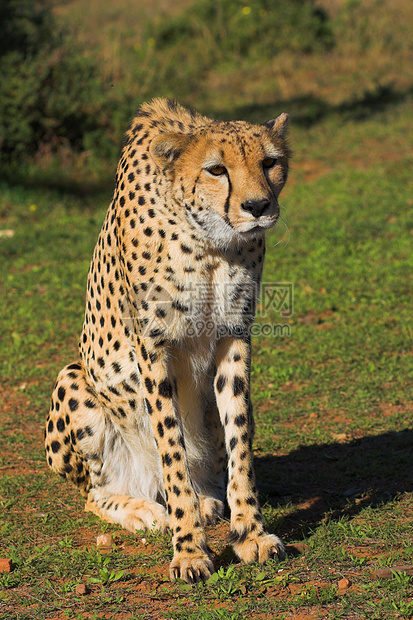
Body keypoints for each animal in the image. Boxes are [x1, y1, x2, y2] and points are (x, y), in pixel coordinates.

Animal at [45, 97, 290, 580]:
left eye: (270, 163)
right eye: (216, 169)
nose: (258, 206)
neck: (211, 240)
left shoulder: (234, 335)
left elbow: (239, 441)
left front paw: (250, 533)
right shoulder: (153, 347)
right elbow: (171, 448)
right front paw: (190, 549)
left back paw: (208, 500)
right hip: (73, 381)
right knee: (95, 495)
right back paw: (142, 509)